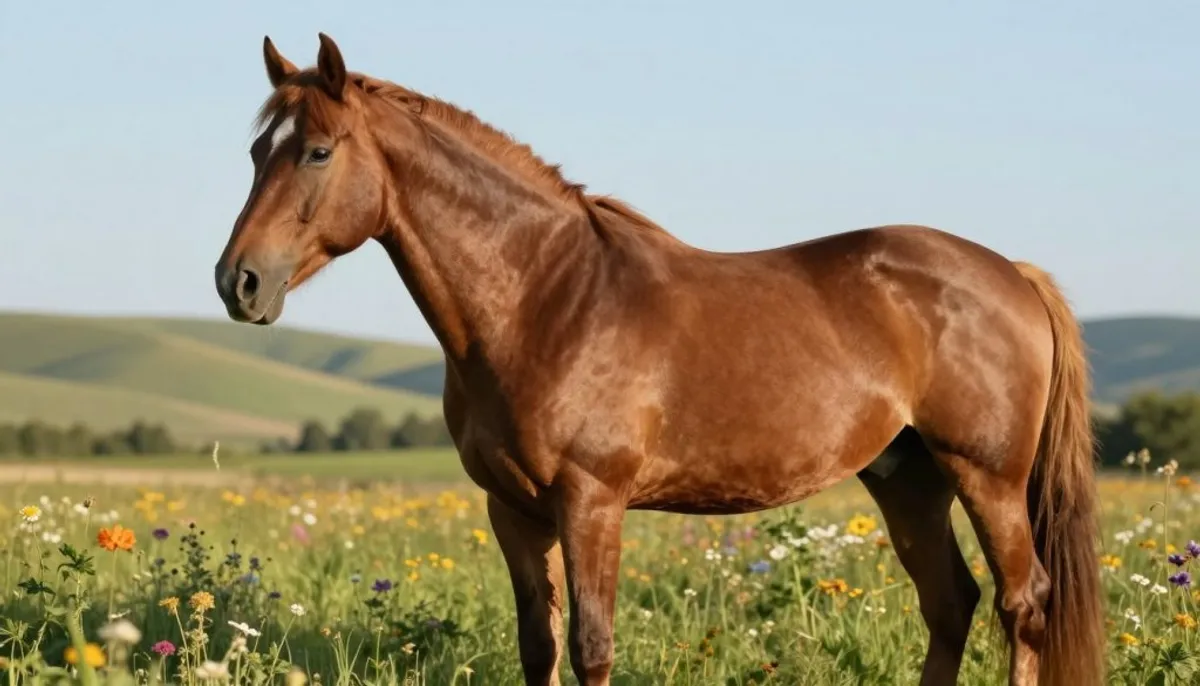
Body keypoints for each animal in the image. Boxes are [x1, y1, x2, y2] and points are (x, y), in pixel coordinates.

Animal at [213, 33, 1104, 686]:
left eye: (319, 152)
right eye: (257, 151)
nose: (238, 281)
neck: (544, 299)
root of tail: (1010, 273)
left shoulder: (591, 501)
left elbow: (591, 647)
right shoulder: (513, 510)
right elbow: (539, 646)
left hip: (987, 478)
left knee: (1021, 606)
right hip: (907, 479)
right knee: (950, 605)